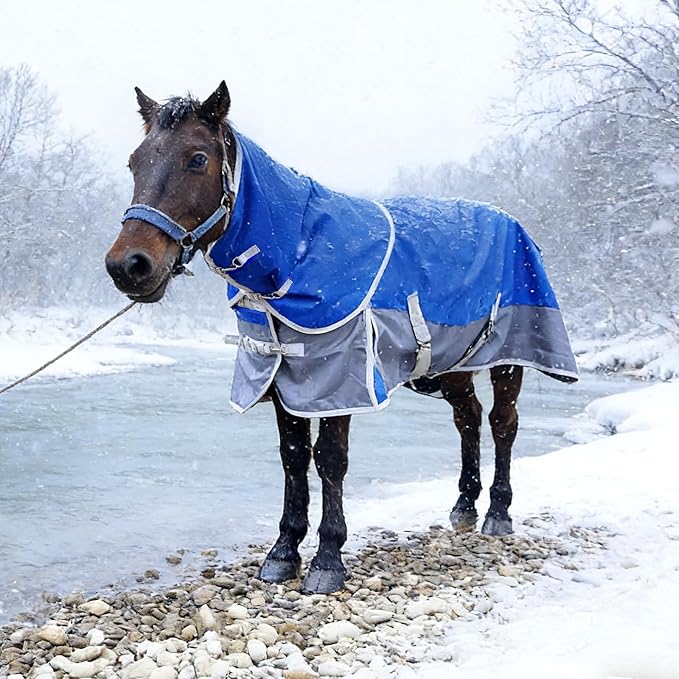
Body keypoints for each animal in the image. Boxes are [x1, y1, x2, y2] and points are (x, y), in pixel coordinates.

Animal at [105, 82, 578, 594]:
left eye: (196, 159)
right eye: (134, 162)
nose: (128, 266)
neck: (293, 257)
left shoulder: (340, 376)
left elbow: (329, 459)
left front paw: (328, 559)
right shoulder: (282, 377)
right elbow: (293, 458)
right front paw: (283, 551)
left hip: (509, 356)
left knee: (502, 423)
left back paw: (497, 512)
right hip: (451, 365)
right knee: (467, 418)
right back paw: (465, 506)